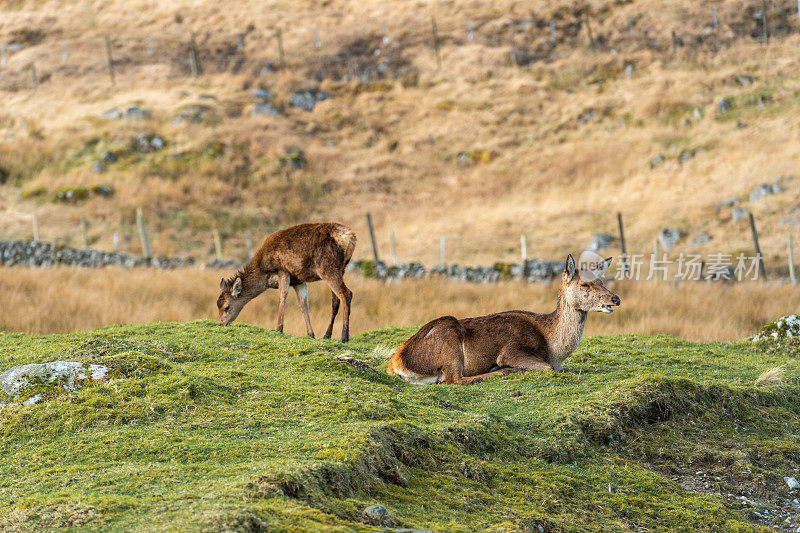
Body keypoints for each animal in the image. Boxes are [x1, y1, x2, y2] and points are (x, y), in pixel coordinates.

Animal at [217, 221, 358, 340]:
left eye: (226, 307)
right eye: (217, 305)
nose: (220, 323)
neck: (263, 272)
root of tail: (350, 237)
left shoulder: (283, 270)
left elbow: (282, 296)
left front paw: (279, 328)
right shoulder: (299, 280)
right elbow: (303, 303)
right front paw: (311, 334)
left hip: (328, 267)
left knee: (346, 294)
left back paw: (344, 337)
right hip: (340, 269)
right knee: (335, 300)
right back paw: (327, 335)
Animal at [390, 254, 620, 382]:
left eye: (602, 280)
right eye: (584, 284)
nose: (615, 298)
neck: (554, 350)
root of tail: (396, 363)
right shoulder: (512, 350)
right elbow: (547, 368)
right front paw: (502, 367)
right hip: (449, 339)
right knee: (455, 379)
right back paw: (500, 371)